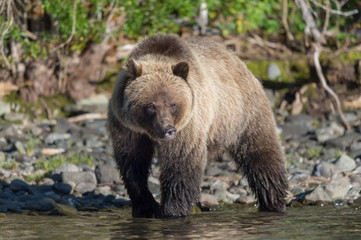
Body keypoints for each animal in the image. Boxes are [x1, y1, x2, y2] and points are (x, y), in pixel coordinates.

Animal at [107, 33, 286, 218]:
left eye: (173, 104)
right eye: (151, 106)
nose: (168, 130)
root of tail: (239, 61)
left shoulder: (187, 127)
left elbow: (181, 164)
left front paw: (172, 210)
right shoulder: (127, 128)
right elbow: (133, 164)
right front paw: (146, 207)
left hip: (244, 116)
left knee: (261, 154)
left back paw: (274, 201)